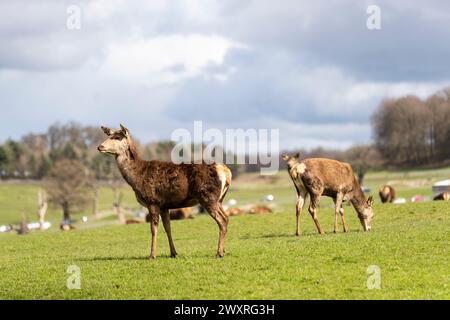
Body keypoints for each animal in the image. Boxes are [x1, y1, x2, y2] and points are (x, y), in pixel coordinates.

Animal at [98, 125, 232, 260]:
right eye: (109, 135)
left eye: (117, 137)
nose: (100, 146)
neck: (136, 177)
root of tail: (226, 171)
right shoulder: (164, 206)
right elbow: (168, 228)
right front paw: (173, 253)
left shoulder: (152, 201)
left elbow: (153, 229)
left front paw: (152, 255)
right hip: (219, 199)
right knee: (226, 217)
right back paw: (223, 250)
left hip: (208, 196)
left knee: (222, 220)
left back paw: (219, 253)